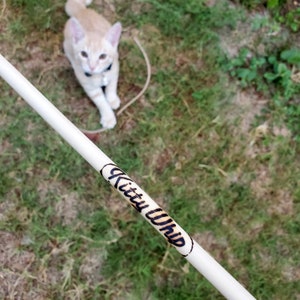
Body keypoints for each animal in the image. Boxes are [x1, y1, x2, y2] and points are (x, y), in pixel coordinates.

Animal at [64, 0, 122, 129]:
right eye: (84, 54)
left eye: (103, 56)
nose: (92, 67)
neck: (100, 75)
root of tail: (81, 10)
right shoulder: (90, 87)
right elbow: (101, 101)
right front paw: (108, 117)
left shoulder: (114, 67)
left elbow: (112, 86)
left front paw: (112, 99)